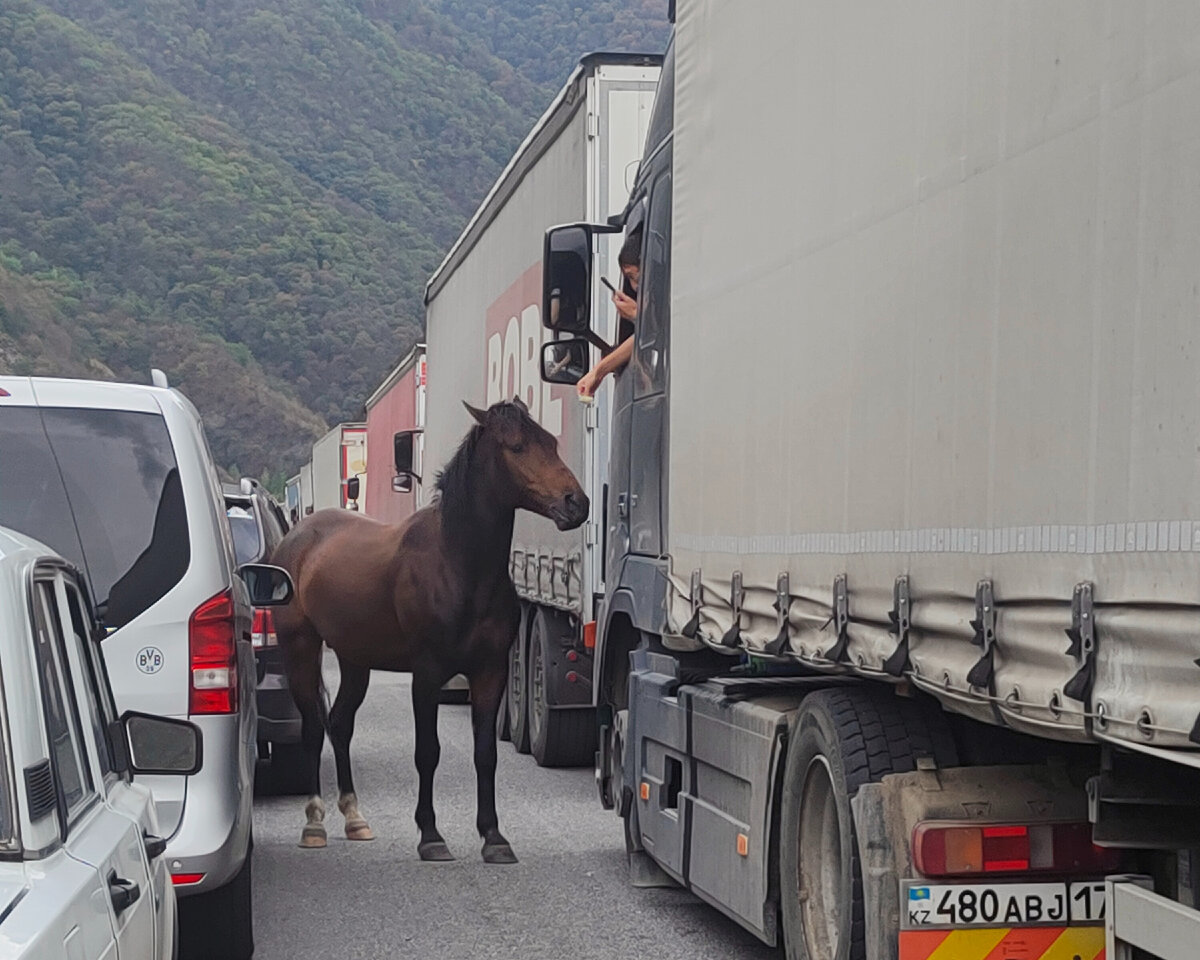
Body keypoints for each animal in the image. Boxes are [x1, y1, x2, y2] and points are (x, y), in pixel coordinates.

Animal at [272, 398, 590, 864]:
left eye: (550, 442)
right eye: (516, 446)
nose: (577, 503)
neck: (458, 566)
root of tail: (296, 537)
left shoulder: (490, 671)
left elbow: (485, 753)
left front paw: (493, 837)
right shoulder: (426, 674)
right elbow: (428, 752)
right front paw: (431, 835)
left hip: (354, 659)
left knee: (340, 724)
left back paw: (354, 818)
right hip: (301, 649)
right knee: (314, 726)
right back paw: (314, 823)